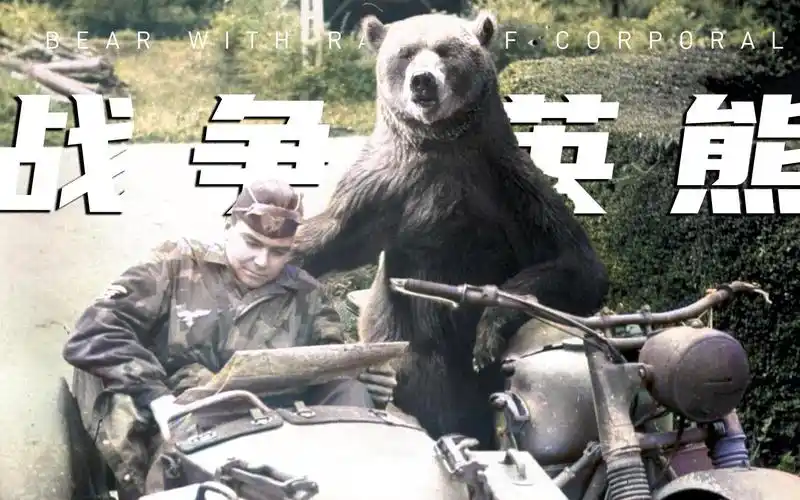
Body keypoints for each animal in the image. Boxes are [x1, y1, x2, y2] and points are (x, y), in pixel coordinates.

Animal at [290, 10, 609, 448]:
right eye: (405, 53)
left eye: (445, 50)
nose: (422, 81)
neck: (440, 143)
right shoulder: (383, 189)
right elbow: (332, 236)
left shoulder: (509, 187)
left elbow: (574, 264)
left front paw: (488, 332)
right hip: (408, 341)